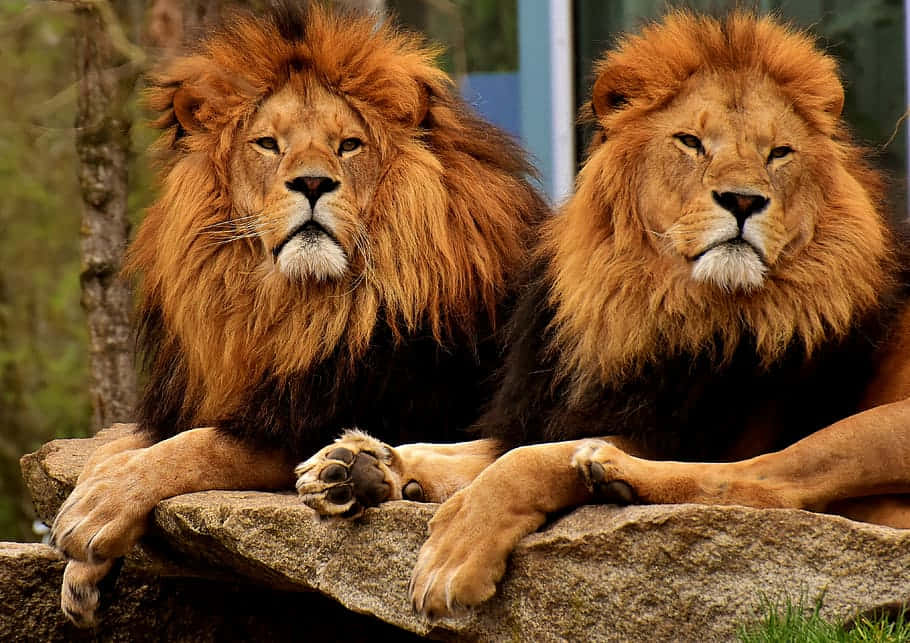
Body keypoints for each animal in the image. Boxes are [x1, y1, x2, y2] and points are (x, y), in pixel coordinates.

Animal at [50, 3, 544, 628]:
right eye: (267, 143)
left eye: (349, 145)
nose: (312, 181)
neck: (296, 307)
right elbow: (116, 447)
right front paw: (82, 568)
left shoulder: (322, 415)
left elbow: (199, 446)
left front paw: (93, 511)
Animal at [296, 12, 910, 620]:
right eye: (691, 143)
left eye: (779, 153)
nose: (742, 200)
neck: (649, 302)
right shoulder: (552, 408)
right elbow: (466, 451)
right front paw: (354, 464)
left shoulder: (696, 431)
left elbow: (521, 463)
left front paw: (453, 555)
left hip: (881, 423)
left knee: (768, 486)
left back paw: (612, 474)